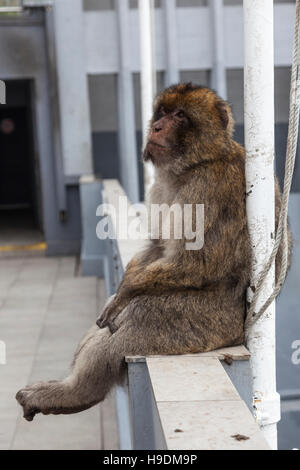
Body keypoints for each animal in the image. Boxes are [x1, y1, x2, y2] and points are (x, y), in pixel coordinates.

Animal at [14, 84, 290, 422]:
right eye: (162, 113)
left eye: (180, 115)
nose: (156, 127)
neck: (193, 166)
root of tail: (239, 333)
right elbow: (157, 247)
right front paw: (120, 290)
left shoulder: (211, 186)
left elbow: (199, 262)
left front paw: (125, 292)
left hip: (207, 323)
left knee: (140, 317)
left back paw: (77, 392)